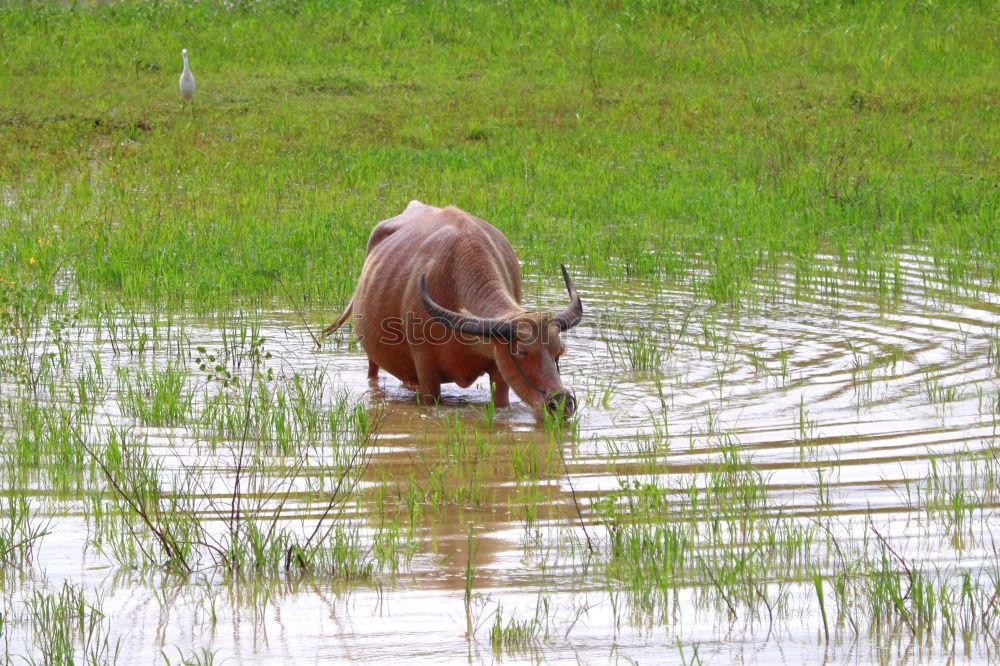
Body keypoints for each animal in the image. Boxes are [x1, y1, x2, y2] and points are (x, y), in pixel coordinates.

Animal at [324, 200, 584, 416]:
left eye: (559, 351)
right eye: (522, 351)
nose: (561, 404)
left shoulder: (499, 369)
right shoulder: (427, 371)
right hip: (373, 356)